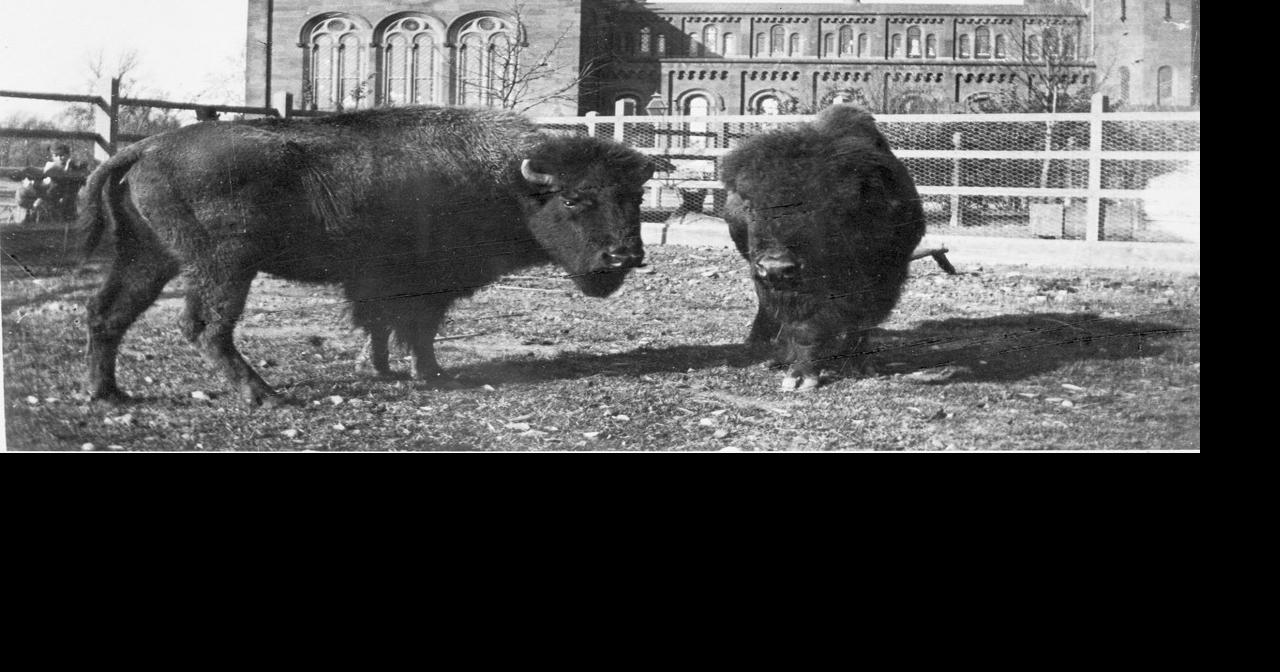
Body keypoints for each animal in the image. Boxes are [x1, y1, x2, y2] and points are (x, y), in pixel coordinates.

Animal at [80, 105, 655, 406]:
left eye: (637, 197)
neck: (511, 182)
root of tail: (146, 147)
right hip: (224, 266)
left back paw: (109, 394)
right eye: (575, 199)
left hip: (149, 256)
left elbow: (379, 325)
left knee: (107, 313)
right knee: (206, 326)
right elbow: (417, 329)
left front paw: (379, 369)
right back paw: (264, 395)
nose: (623, 257)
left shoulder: (376, 283)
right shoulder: (426, 285)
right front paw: (431, 375)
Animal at [721, 105, 925, 391]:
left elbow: (857, 321)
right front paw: (797, 373)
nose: (776, 267)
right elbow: (797, 324)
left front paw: (852, 366)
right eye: (749, 206)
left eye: (826, 206)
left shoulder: (882, 278)